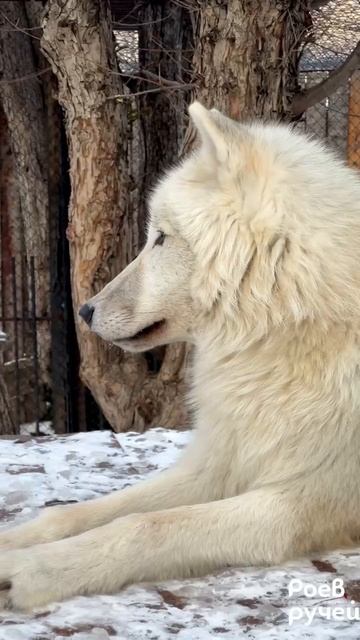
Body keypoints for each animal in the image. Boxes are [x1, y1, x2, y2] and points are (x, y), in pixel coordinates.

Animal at [0, 102, 360, 608]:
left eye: (161, 238)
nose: (86, 311)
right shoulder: (219, 464)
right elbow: (80, 513)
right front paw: (11, 545)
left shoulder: (300, 503)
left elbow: (143, 526)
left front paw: (39, 568)